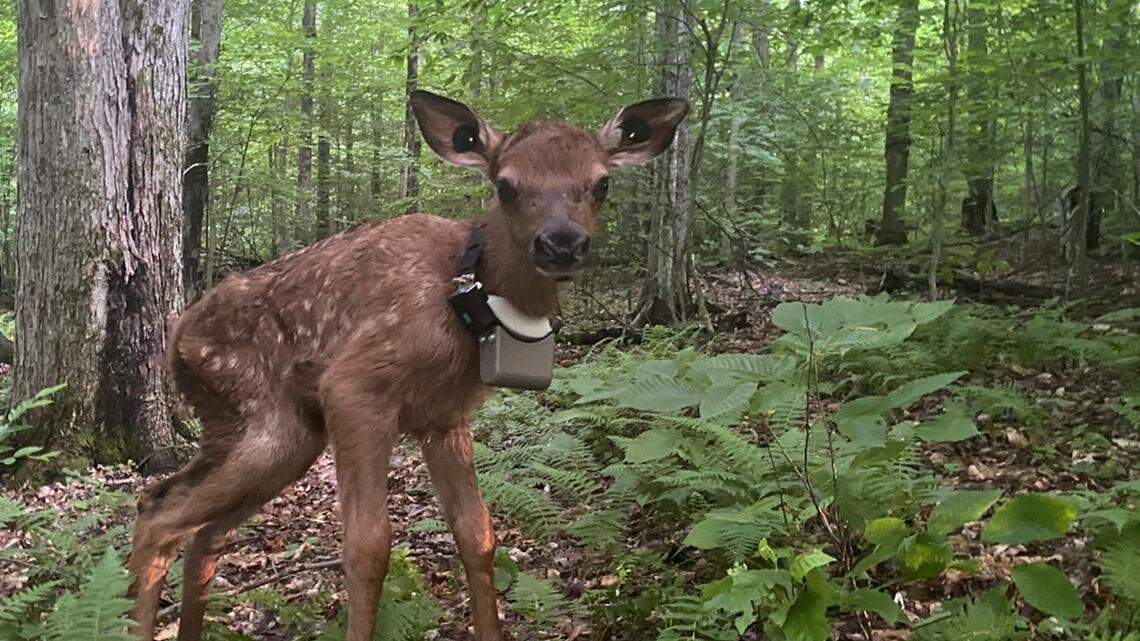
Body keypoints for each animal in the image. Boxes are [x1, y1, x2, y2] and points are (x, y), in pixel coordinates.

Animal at [126, 89, 688, 641]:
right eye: (506, 185)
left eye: (601, 183)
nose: (562, 243)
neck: (466, 301)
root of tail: (177, 337)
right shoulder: (355, 386)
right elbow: (368, 545)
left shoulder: (446, 417)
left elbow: (478, 533)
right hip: (265, 417)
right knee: (159, 514)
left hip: (272, 431)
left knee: (198, 530)